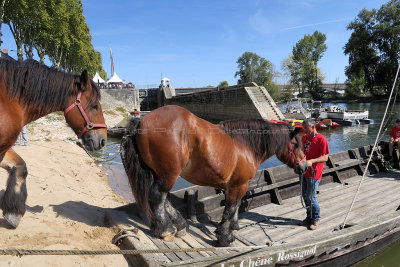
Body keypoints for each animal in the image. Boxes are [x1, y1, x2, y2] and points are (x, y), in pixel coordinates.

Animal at [0, 58, 107, 228]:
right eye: (95, 106)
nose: (103, 140)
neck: (10, 101)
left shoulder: (4, 147)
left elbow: (21, 167)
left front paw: (13, 212)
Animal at [120, 105, 308, 248]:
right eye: (295, 144)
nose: (305, 166)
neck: (244, 144)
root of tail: (142, 120)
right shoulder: (239, 184)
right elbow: (231, 207)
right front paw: (225, 236)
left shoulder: (235, 185)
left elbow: (235, 207)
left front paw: (234, 226)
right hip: (168, 175)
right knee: (158, 197)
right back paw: (165, 229)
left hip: (161, 174)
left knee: (163, 199)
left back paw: (178, 226)